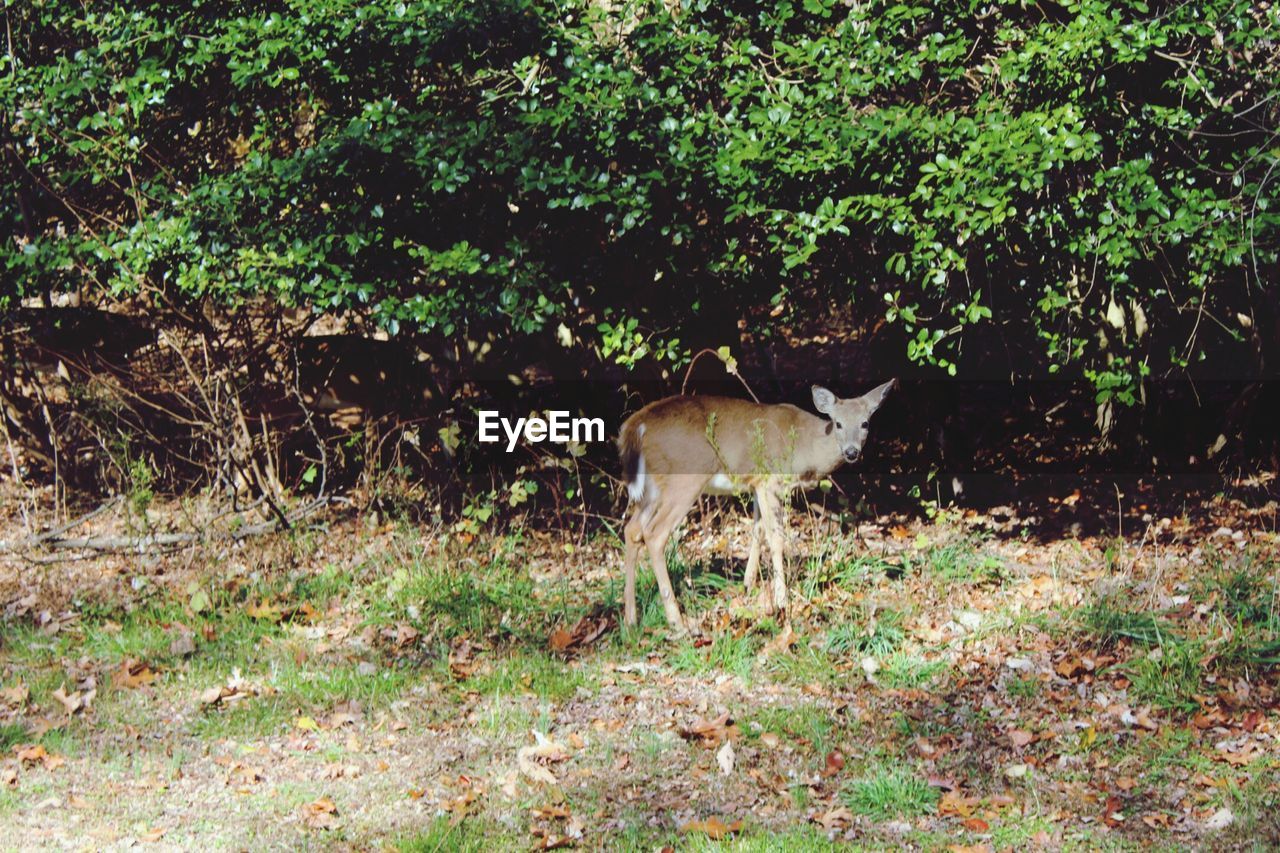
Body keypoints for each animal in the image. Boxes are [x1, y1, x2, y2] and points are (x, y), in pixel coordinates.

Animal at [614, 381, 896, 627]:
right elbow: (776, 538)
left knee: (632, 529)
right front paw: (782, 599)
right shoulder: (770, 481)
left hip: (651, 488)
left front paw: (748, 585)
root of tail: (635, 426)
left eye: (865, 423)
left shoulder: (757, 484)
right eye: (838, 423)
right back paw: (677, 621)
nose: (851, 452)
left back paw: (630, 620)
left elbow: (757, 530)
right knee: (655, 534)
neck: (806, 447)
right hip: (684, 479)